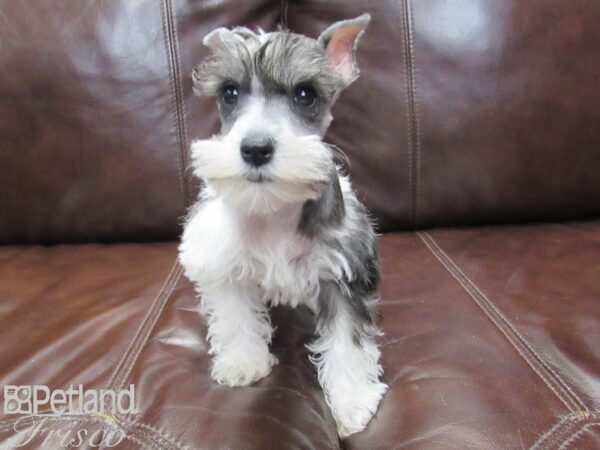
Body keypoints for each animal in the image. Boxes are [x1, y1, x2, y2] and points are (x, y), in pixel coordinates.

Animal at [177, 14, 390, 436]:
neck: (274, 209)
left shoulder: (344, 278)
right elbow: (235, 315)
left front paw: (353, 400)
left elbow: (348, 342)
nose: (256, 148)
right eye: (229, 93)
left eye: (306, 94)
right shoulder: (222, 264)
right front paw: (243, 362)